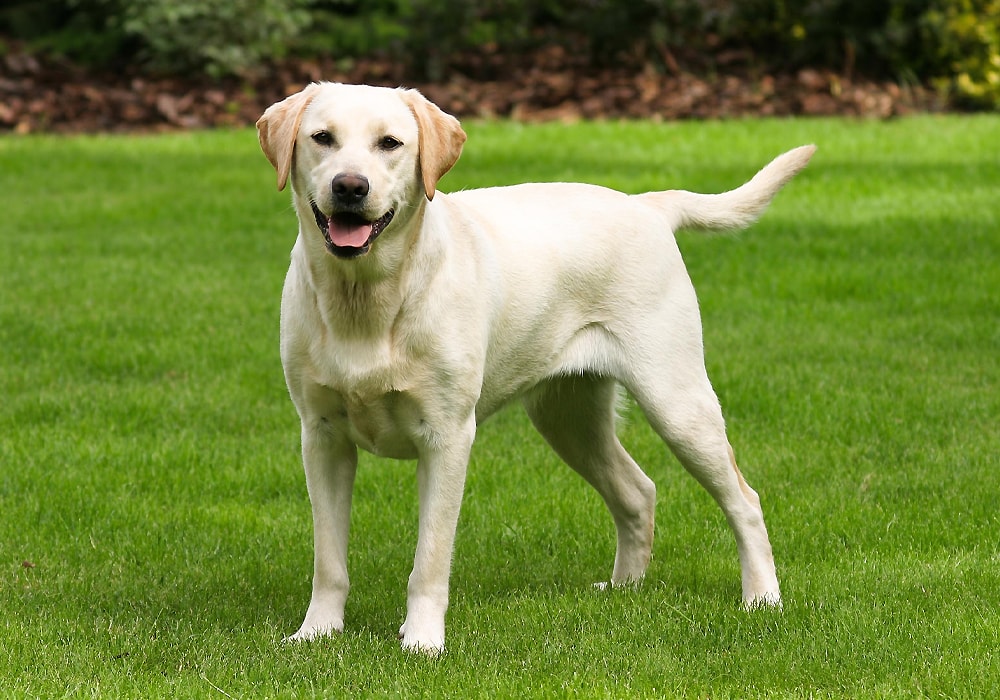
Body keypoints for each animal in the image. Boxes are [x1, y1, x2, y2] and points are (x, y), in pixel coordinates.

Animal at [258, 83, 812, 656]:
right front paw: (316, 633)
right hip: (568, 418)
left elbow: (430, 558)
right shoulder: (321, 437)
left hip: (677, 402)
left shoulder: (447, 437)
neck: (367, 298)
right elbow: (329, 559)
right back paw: (624, 588)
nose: (349, 186)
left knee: (745, 500)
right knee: (638, 491)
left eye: (390, 143)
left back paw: (762, 598)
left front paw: (423, 641)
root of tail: (647, 205)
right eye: (322, 138)